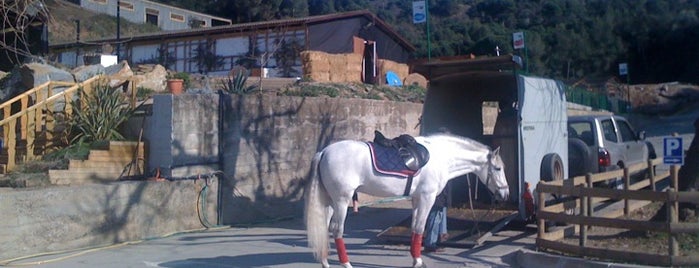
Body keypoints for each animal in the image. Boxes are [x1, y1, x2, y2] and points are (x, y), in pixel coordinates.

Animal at [304, 132, 508, 268]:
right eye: (498, 168)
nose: (505, 195)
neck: (441, 157)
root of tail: (324, 152)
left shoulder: (416, 199)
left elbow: (414, 228)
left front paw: (415, 259)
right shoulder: (427, 198)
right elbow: (420, 228)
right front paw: (418, 261)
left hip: (330, 202)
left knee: (325, 228)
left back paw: (325, 262)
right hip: (341, 201)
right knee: (337, 230)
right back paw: (346, 264)